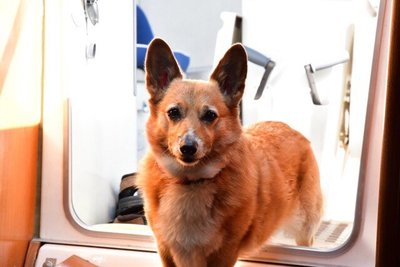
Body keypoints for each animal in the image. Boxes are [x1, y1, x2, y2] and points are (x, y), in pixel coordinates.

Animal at [136, 38, 324, 267]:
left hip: (304, 230)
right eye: (173, 112)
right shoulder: (166, 251)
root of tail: (287, 126)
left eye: (210, 115)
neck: (190, 181)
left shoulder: (223, 253)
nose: (188, 148)